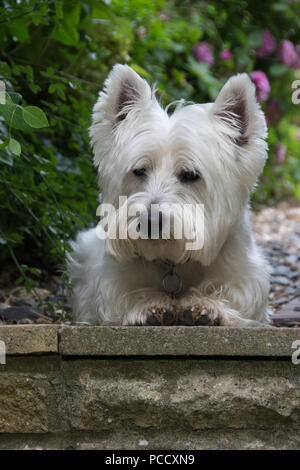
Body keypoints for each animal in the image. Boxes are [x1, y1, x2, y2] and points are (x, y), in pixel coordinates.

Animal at [67, 63, 270, 326]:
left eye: (191, 175)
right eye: (139, 171)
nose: (150, 221)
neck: (174, 261)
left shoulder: (245, 276)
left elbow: (234, 295)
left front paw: (207, 306)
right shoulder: (111, 280)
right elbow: (122, 296)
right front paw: (148, 305)